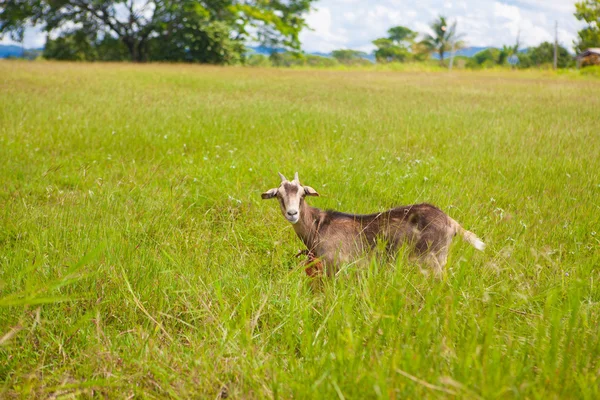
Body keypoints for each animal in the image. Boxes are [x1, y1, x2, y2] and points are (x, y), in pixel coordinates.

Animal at [260, 172, 486, 276]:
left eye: (302, 194)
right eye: (278, 195)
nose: (292, 213)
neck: (318, 224)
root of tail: (450, 221)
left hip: (433, 259)